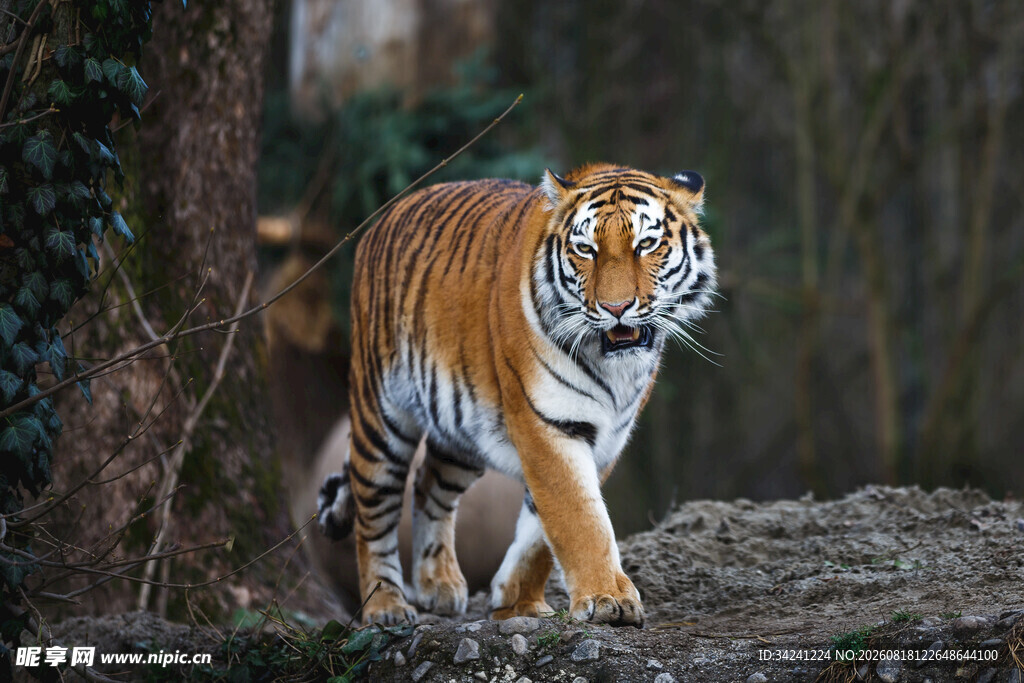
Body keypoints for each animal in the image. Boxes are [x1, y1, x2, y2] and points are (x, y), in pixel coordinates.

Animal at [317, 163, 717, 627]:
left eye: (646, 244)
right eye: (586, 250)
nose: (616, 308)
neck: (615, 367)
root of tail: (387, 213)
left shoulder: (607, 438)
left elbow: (541, 531)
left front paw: (517, 601)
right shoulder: (546, 422)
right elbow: (578, 517)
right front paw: (608, 600)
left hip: (459, 432)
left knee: (427, 485)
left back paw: (438, 586)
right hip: (381, 417)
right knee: (373, 514)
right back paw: (386, 606)